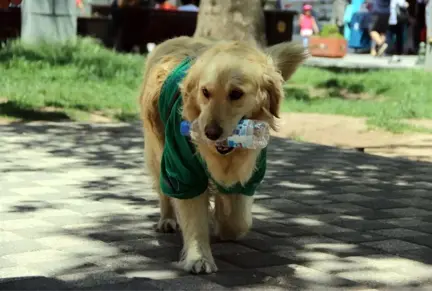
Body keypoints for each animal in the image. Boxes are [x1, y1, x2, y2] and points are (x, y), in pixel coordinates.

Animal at [140, 36, 306, 274]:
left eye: (236, 94)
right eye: (205, 92)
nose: (210, 133)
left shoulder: (248, 174)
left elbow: (237, 221)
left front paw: (222, 221)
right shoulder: (183, 169)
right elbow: (195, 218)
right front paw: (199, 258)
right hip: (157, 151)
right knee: (163, 190)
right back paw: (167, 219)